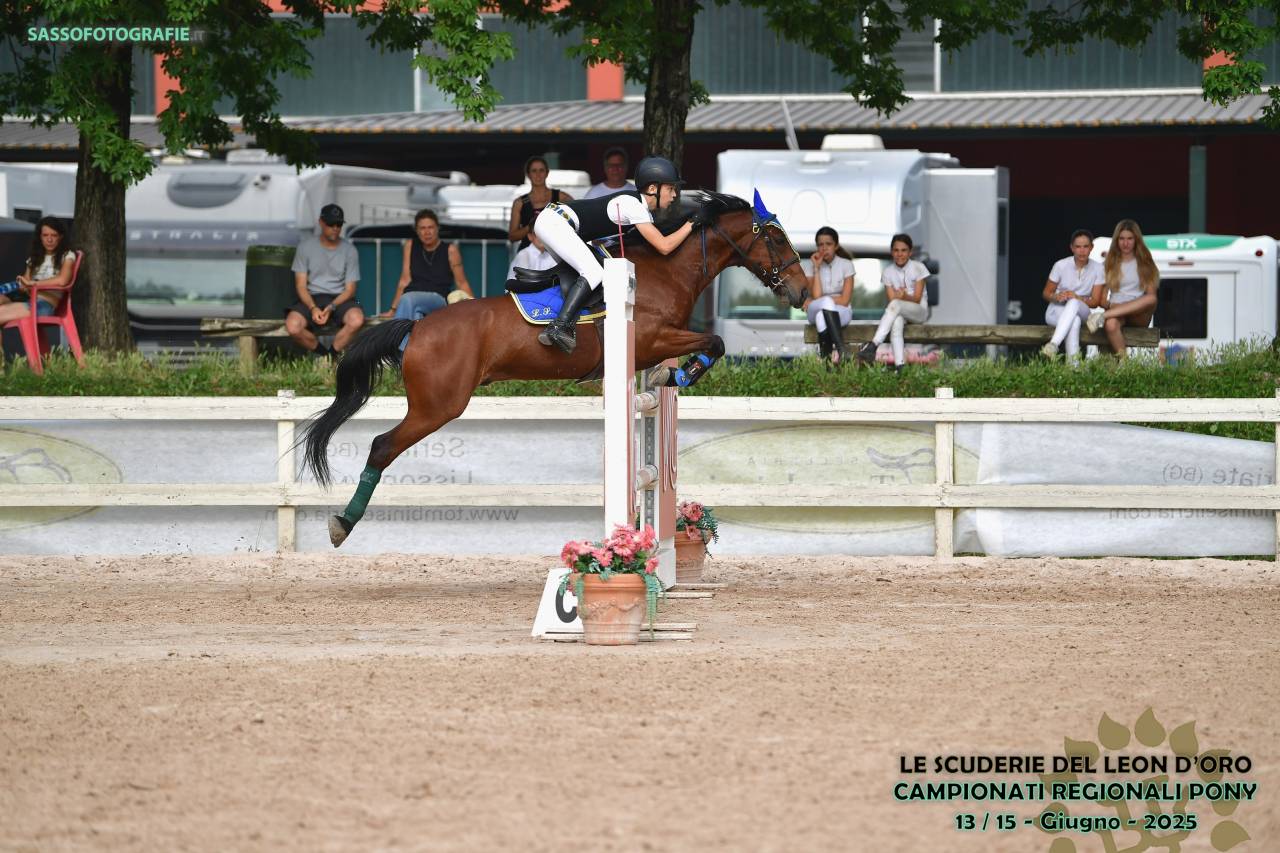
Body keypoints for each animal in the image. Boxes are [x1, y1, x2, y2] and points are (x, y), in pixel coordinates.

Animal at [300, 191, 810, 548]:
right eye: (775, 237)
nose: (803, 293)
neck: (666, 272)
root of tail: (418, 327)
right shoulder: (651, 338)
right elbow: (715, 342)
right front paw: (681, 375)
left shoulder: (652, 347)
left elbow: (707, 346)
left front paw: (674, 375)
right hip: (438, 406)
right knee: (382, 446)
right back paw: (342, 524)